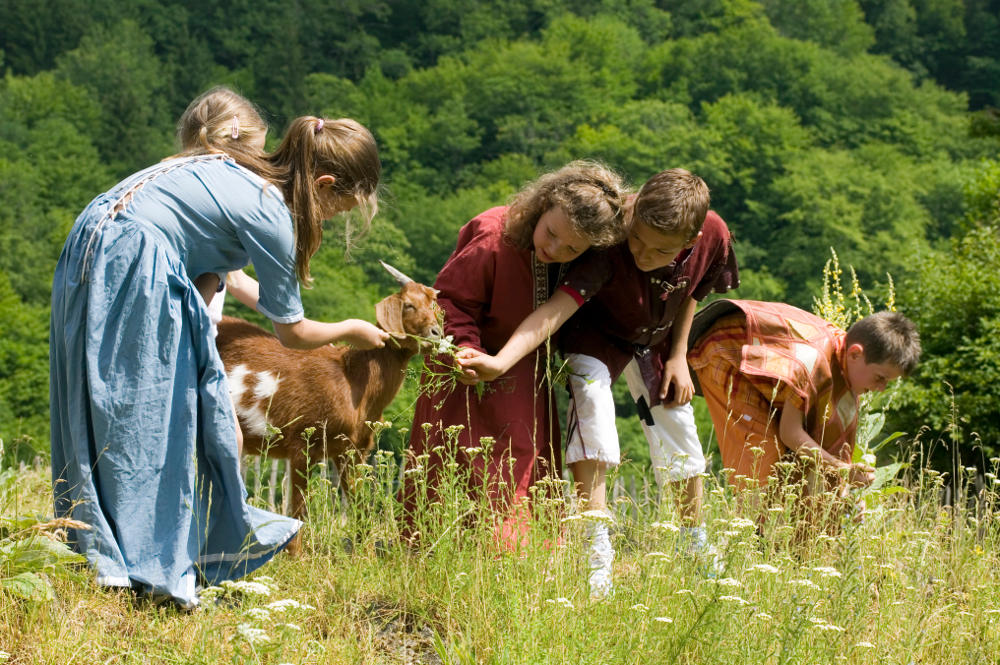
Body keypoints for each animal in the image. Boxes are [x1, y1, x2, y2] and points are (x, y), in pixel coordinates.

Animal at [217, 260, 440, 548]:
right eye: (409, 305)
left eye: (433, 304)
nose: (436, 333)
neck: (353, 382)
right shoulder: (302, 442)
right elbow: (298, 513)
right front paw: (296, 556)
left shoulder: (353, 450)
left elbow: (360, 509)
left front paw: (364, 553)